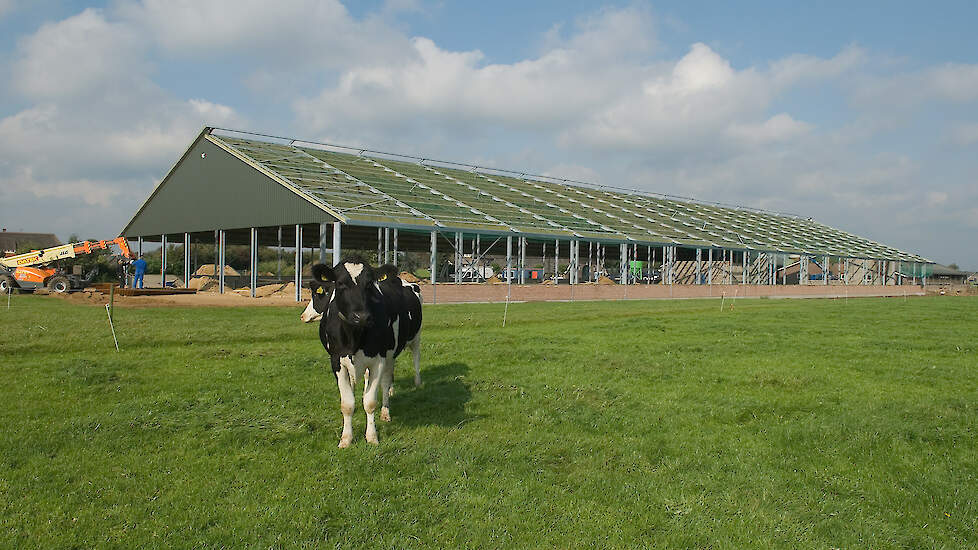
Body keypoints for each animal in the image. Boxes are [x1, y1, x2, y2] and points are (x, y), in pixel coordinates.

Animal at [298, 258, 420, 448]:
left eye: (369, 284)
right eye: (340, 283)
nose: (361, 316)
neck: (353, 337)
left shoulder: (378, 360)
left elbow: (369, 402)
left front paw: (372, 436)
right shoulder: (337, 361)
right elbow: (347, 404)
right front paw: (346, 439)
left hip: (412, 340)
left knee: (404, 367)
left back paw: (392, 406)